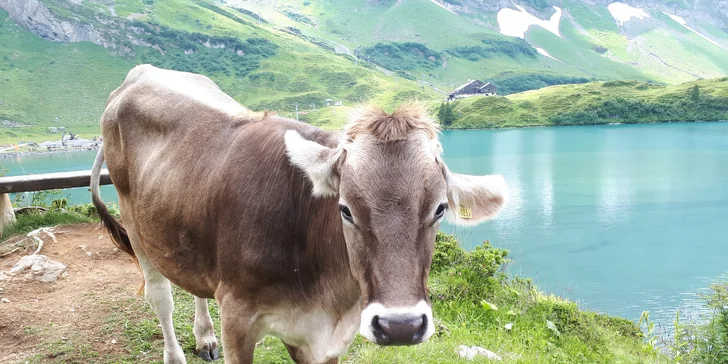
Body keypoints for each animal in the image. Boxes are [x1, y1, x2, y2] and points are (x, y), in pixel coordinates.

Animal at [91, 64, 506, 362]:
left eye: (439, 209)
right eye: (345, 210)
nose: (400, 327)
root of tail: (140, 73)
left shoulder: (326, 340)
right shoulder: (238, 320)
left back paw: (204, 337)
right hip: (134, 219)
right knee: (160, 294)